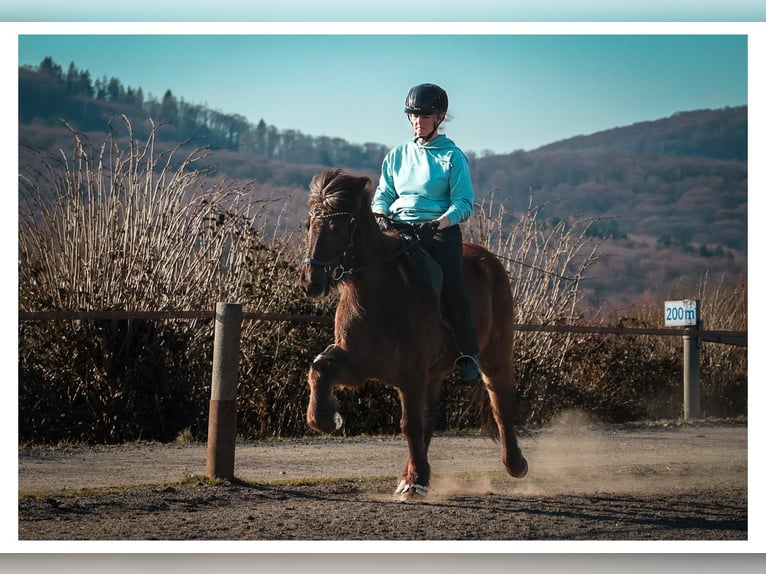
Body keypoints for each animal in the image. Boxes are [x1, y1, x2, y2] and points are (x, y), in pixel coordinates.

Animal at [300, 168, 528, 500]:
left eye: (337, 226)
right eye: (309, 226)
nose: (311, 283)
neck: (378, 292)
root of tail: (488, 260)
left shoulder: (410, 374)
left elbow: (409, 425)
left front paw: (416, 481)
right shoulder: (359, 365)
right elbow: (319, 369)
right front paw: (329, 418)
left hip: (493, 356)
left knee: (500, 404)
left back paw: (515, 464)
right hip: (434, 373)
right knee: (430, 421)